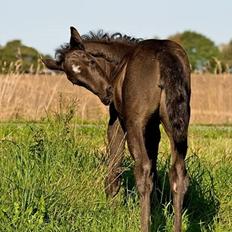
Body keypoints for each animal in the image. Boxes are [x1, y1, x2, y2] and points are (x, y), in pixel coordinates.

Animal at [42, 26, 191, 231]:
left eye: (91, 61)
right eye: (75, 80)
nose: (107, 93)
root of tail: (164, 53)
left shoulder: (118, 122)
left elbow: (115, 163)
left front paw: (110, 208)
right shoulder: (154, 127)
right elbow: (154, 167)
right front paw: (155, 209)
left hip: (134, 123)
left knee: (143, 170)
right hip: (176, 124)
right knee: (178, 173)